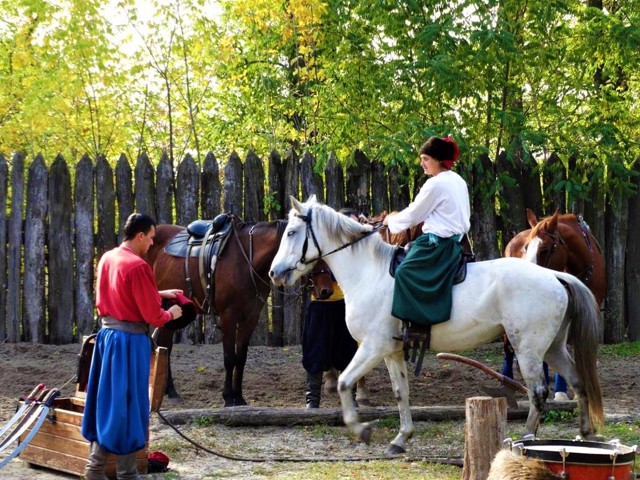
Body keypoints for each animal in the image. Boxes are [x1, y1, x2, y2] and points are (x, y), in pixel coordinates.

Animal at [146, 216, 286, 406]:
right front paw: (228, 398)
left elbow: (241, 358)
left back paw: (170, 391)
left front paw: (239, 397)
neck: (247, 260)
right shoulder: (228, 316)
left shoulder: (250, 318)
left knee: (165, 346)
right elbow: (229, 358)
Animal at [270, 195, 604, 454]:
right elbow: (400, 393)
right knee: (578, 381)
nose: (275, 273)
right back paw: (584, 434)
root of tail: (555, 276)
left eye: (292, 232)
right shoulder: (391, 351)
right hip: (553, 348)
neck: (369, 273)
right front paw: (401, 439)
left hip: (529, 350)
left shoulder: (373, 347)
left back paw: (526, 439)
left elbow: (343, 382)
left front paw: (361, 429)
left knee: (537, 393)